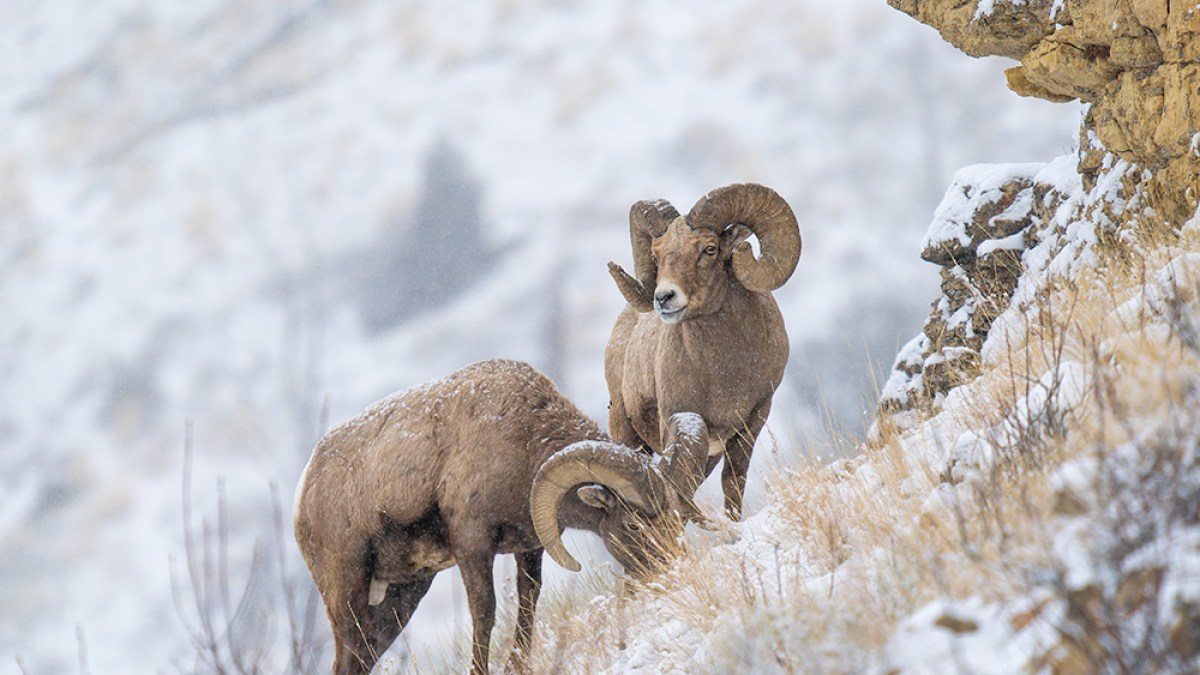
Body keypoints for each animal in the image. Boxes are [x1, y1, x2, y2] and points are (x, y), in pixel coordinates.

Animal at [293, 359, 707, 675]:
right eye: (635, 523)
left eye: (676, 519)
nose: (674, 568)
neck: (522, 440)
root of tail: (306, 486)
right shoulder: (473, 545)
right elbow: (485, 612)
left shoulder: (529, 547)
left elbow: (527, 605)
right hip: (347, 587)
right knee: (349, 653)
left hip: (401, 596)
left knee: (366, 653)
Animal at [605, 183, 801, 519]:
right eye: (657, 254)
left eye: (709, 249)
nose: (664, 298)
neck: (725, 372)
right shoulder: (676, 422)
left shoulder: (753, 420)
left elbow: (733, 483)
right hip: (625, 429)